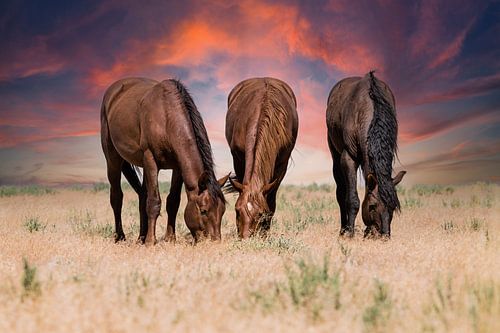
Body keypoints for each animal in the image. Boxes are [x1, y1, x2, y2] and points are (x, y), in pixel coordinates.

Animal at [100, 77, 229, 244]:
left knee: (142, 196)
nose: (214, 242)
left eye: (223, 210)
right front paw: (151, 242)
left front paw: (169, 238)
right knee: (117, 197)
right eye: (203, 211)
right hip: (113, 159)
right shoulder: (150, 159)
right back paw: (120, 237)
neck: (166, 116)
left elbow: (172, 201)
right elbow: (154, 202)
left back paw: (141, 238)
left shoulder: (178, 167)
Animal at [225, 76, 298, 237]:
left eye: (261, 214)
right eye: (237, 210)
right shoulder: (237, 159)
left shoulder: (281, 165)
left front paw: (265, 233)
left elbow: (271, 201)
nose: (245, 238)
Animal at [324, 71, 406, 237]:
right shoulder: (348, 158)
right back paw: (343, 229)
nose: (384, 235)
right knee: (341, 192)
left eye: (393, 207)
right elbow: (352, 199)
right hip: (335, 154)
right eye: (372, 206)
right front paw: (350, 233)